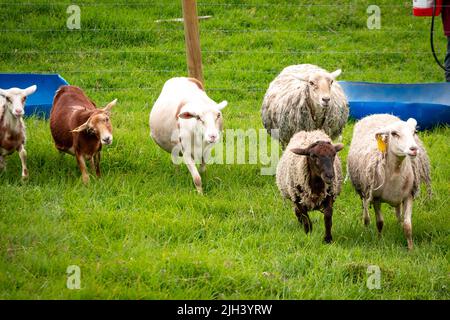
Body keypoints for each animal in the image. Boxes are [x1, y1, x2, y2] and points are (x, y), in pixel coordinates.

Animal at [348, 113, 432, 250]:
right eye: (394, 133)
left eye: (414, 132)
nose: (414, 149)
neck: (396, 170)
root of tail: (377, 114)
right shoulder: (376, 198)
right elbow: (380, 222)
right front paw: (379, 241)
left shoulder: (408, 195)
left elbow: (408, 225)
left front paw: (411, 248)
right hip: (364, 189)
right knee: (365, 209)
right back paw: (366, 227)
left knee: (399, 214)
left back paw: (398, 225)